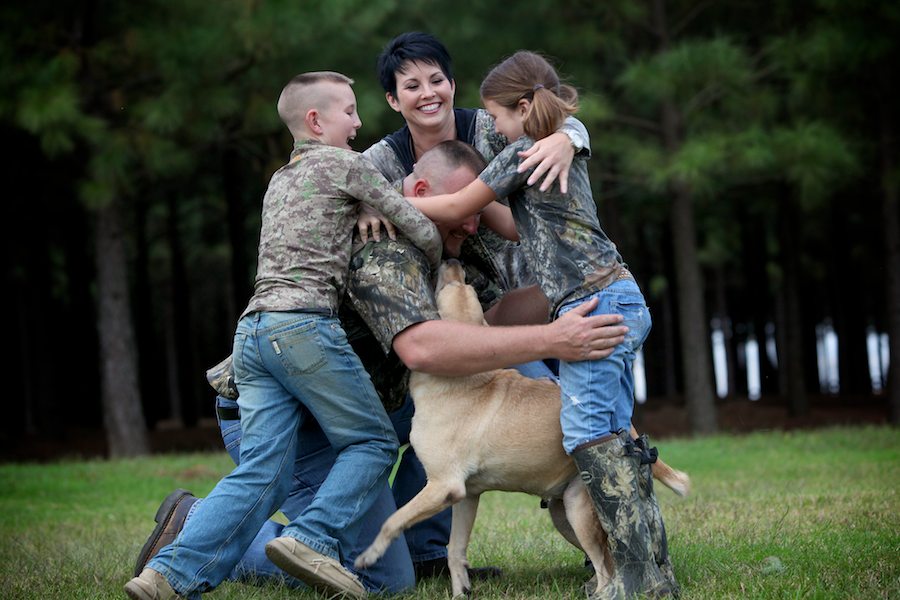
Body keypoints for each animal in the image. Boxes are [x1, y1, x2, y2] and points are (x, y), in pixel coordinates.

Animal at [354, 260, 688, 596]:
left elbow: (393, 520)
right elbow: (454, 550)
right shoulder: (465, 496)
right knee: (614, 555)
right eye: (463, 285)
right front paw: (461, 592)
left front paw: (369, 555)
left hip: (578, 511)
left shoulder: (442, 485)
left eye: (452, 287)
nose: (453, 262)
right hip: (564, 513)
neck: (461, 380)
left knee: (607, 566)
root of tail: (626, 427)